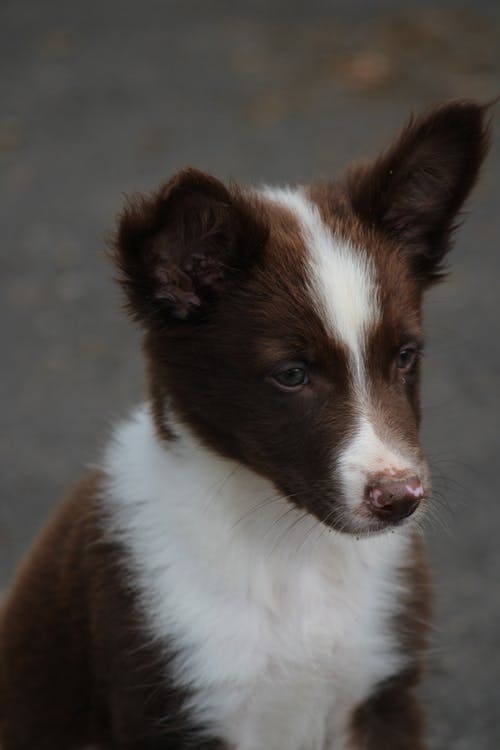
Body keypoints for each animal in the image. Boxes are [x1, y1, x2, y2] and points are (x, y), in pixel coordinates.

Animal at [0, 101, 492, 750]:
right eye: (291, 375)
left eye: (405, 356)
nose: (401, 500)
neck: (287, 549)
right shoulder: (174, 712)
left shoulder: (383, 697)